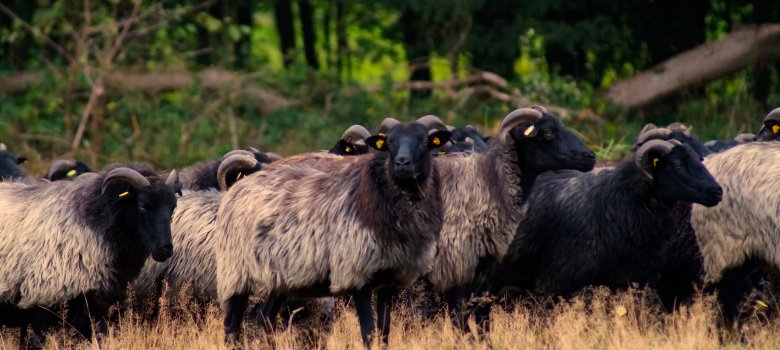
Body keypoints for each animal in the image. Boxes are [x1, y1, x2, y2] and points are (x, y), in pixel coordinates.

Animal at [0, 163, 180, 348]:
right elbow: (36, 342)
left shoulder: (93, 304)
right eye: (142, 207)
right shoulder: (41, 299)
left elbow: (102, 336)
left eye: (172, 209)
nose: (165, 249)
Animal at [216, 121, 454, 346]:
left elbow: (384, 332)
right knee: (231, 326)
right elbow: (369, 332)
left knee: (264, 319)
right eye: (389, 144)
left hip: (279, 279)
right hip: (237, 276)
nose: (402, 164)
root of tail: (236, 191)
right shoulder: (357, 277)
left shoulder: (389, 281)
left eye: (425, 141)